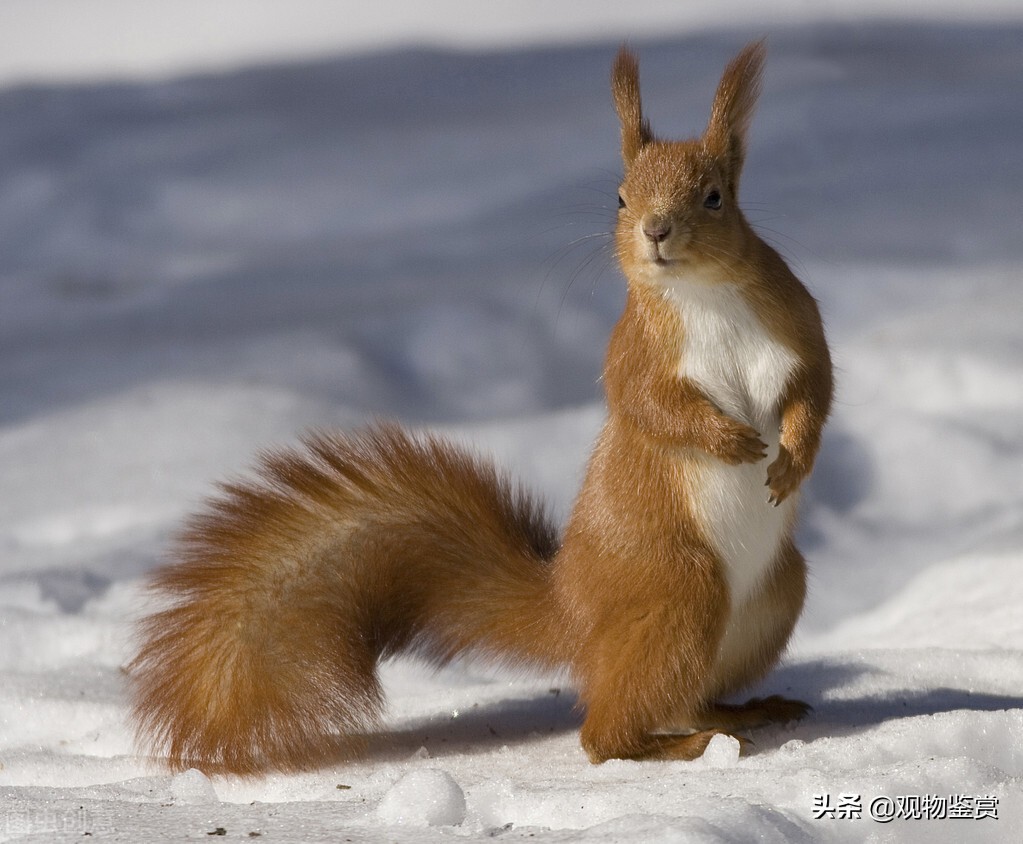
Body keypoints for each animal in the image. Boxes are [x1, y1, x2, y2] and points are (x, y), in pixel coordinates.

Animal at [129, 42, 830, 773]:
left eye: (715, 197)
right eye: (618, 197)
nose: (655, 231)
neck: (703, 295)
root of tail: (572, 613)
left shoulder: (797, 332)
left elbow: (814, 393)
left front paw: (791, 459)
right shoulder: (633, 357)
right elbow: (650, 408)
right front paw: (727, 440)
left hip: (774, 595)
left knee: (685, 697)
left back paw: (744, 710)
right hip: (680, 591)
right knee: (604, 736)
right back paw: (680, 745)